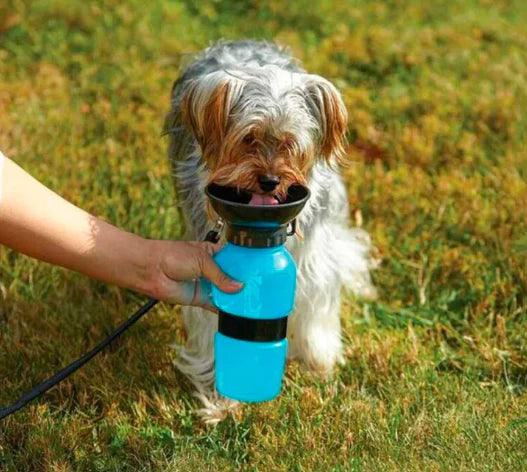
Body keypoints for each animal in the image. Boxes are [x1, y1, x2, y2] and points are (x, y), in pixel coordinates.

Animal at [164, 40, 376, 424]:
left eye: (291, 143)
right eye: (248, 138)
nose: (271, 180)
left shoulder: (312, 261)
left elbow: (314, 309)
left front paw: (318, 366)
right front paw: (221, 401)